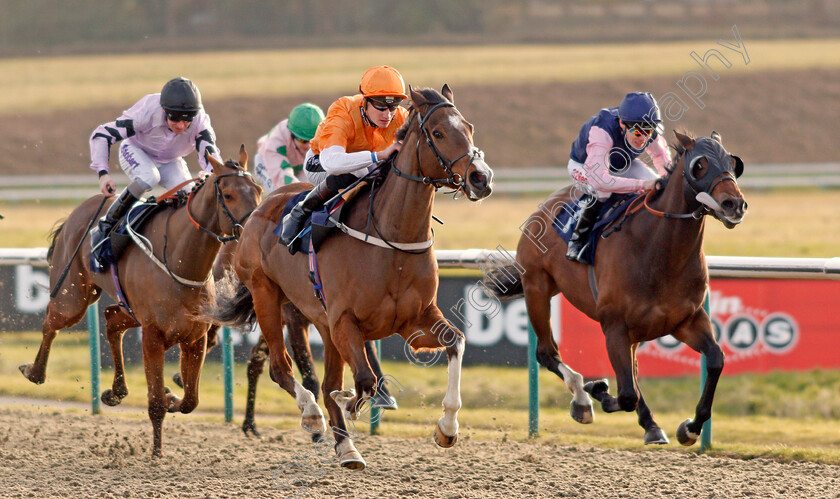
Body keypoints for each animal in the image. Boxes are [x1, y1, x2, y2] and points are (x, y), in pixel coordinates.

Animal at [21, 147, 260, 458]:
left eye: (258, 190)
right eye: (229, 195)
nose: (254, 229)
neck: (180, 261)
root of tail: (80, 209)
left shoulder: (195, 338)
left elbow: (190, 401)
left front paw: (172, 396)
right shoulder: (153, 336)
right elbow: (156, 402)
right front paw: (157, 452)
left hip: (128, 309)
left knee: (111, 319)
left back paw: (115, 392)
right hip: (72, 297)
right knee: (52, 320)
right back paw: (35, 372)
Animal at [208, 86, 492, 468]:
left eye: (469, 127)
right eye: (438, 133)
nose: (481, 177)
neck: (393, 239)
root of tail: (257, 211)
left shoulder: (414, 320)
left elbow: (455, 341)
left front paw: (447, 428)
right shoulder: (345, 322)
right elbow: (363, 380)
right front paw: (351, 401)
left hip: (322, 323)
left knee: (323, 379)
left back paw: (346, 447)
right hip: (267, 295)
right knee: (281, 368)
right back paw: (313, 416)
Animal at [486, 132, 748, 446]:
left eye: (733, 163)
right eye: (700, 164)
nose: (734, 204)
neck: (659, 251)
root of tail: (544, 206)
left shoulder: (687, 320)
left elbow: (716, 360)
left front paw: (690, 427)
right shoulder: (614, 327)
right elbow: (626, 395)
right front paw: (596, 389)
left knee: (631, 371)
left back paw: (650, 425)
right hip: (536, 287)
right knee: (548, 353)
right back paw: (583, 400)